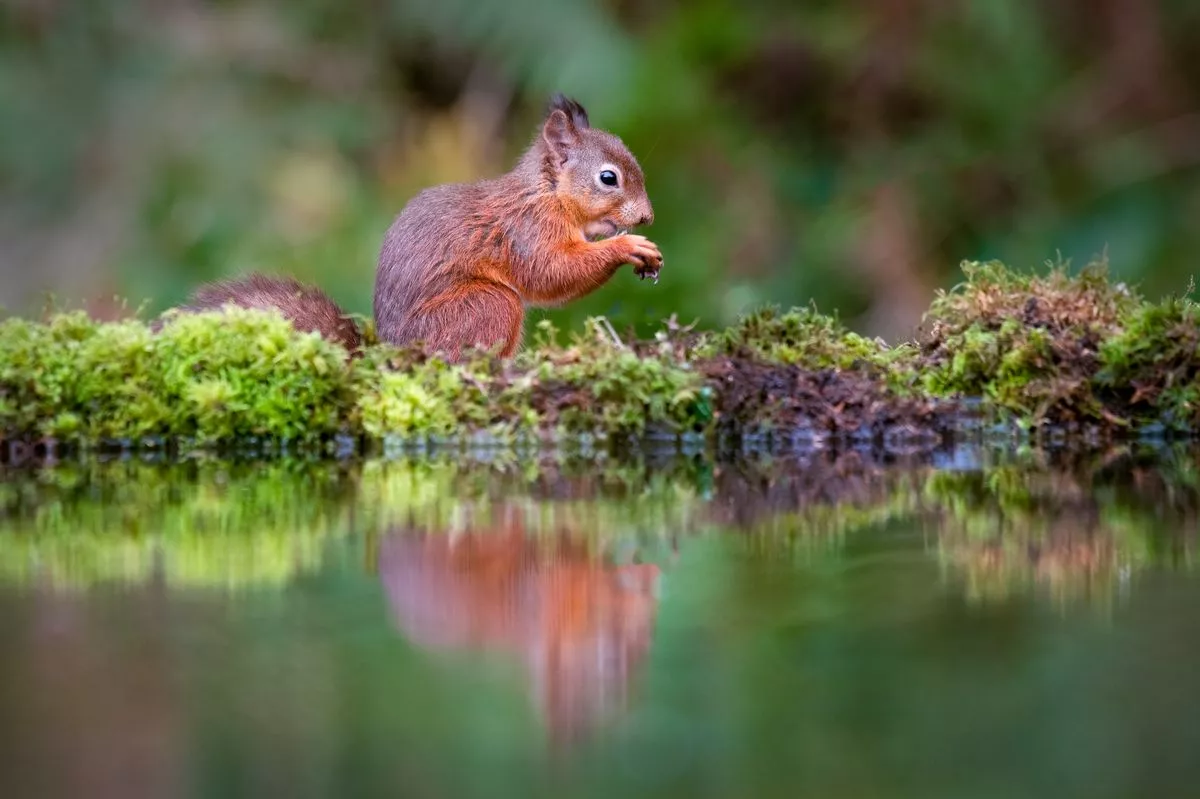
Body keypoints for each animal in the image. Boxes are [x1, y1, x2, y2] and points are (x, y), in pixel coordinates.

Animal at [170, 94, 662, 360]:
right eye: (608, 178)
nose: (647, 217)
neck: (546, 193)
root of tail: (392, 354)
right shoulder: (526, 232)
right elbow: (550, 272)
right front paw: (629, 246)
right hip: (485, 307)